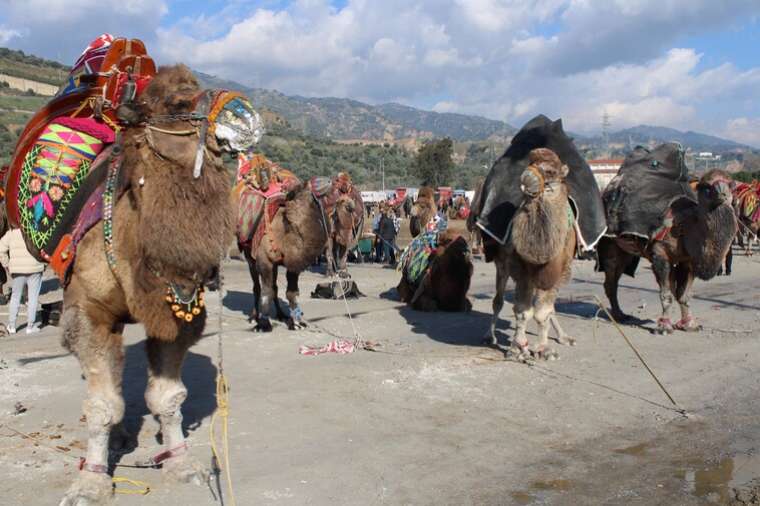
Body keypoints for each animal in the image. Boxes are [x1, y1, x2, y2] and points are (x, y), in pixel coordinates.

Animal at [53, 65, 248, 504]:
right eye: (179, 101)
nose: (243, 114)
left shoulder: (180, 313)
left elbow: (168, 397)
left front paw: (181, 463)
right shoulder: (88, 311)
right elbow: (101, 406)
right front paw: (90, 483)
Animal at [242, 182, 328, 332]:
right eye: (289, 219)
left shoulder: (293, 263)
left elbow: (290, 292)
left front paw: (297, 323)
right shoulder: (265, 260)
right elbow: (266, 291)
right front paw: (263, 325)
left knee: (275, 287)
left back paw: (281, 315)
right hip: (250, 258)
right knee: (257, 286)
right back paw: (253, 317)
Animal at [486, 148, 576, 362]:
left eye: (551, 171)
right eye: (529, 164)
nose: (526, 177)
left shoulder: (559, 272)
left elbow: (543, 312)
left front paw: (544, 349)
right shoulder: (521, 271)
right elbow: (522, 311)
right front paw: (516, 349)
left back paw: (564, 338)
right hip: (502, 265)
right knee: (498, 300)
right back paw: (489, 336)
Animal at [600, 170, 736, 334]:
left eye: (731, 185)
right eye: (707, 188)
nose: (723, 194)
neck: (686, 225)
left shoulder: (687, 260)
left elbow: (683, 295)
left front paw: (689, 325)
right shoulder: (660, 254)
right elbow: (666, 294)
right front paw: (664, 327)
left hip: (625, 252)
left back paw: (621, 315)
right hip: (609, 244)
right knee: (611, 280)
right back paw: (618, 315)